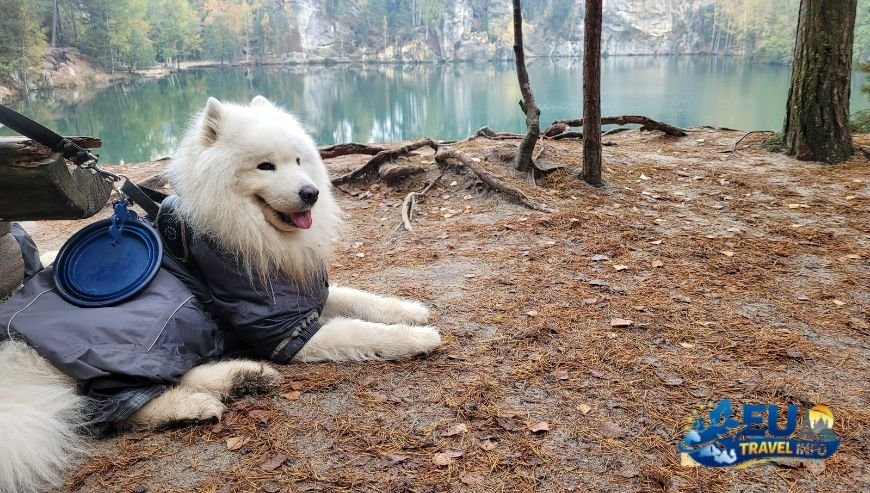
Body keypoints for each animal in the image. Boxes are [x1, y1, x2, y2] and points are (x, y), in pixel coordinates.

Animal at [0, 96, 441, 492]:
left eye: (298, 161)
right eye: (265, 166)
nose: (310, 193)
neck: (252, 232)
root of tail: (17, 351)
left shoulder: (300, 292)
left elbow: (359, 298)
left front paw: (409, 310)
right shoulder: (282, 329)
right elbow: (359, 331)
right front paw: (416, 338)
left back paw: (242, 377)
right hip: (165, 313)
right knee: (105, 407)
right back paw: (195, 403)